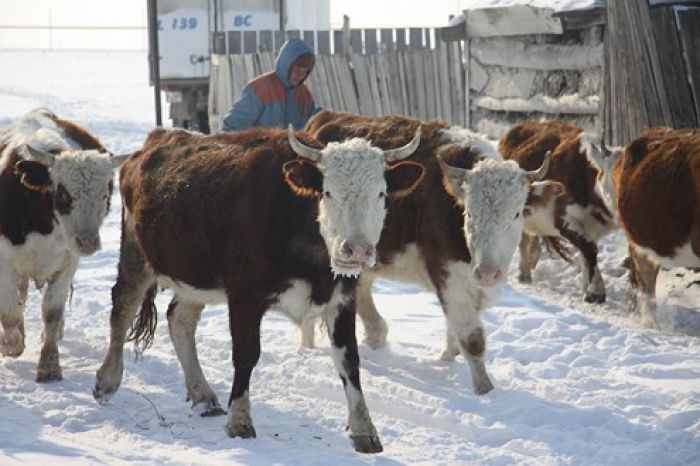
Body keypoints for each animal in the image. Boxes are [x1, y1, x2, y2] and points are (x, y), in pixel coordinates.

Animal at [0, 108, 124, 382]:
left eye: (105, 194)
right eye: (64, 194)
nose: (88, 242)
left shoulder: (68, 262)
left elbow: (52, 312)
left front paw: (49, 365)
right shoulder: (4, 263)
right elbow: (9, 312)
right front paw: (11, 345)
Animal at [91, 125, 422, 454]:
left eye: (381, 193)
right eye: (328, 192)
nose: (357, 250)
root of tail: (152, 142)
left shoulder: (342, 297)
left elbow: (349, 360)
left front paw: (364, 430)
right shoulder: (244, 295)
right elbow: (246, 354)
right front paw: (239, 420)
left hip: (194, 274)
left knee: (180, 320)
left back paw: (202, 395)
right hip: (136, 252)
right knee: (122, 309)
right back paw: (107, 381)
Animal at [498, 120, 616, 302]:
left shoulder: (590, 226)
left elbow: (586, 253)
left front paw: (587, 288)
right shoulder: (563, 217)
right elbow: (589, 248)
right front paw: (597, 291)